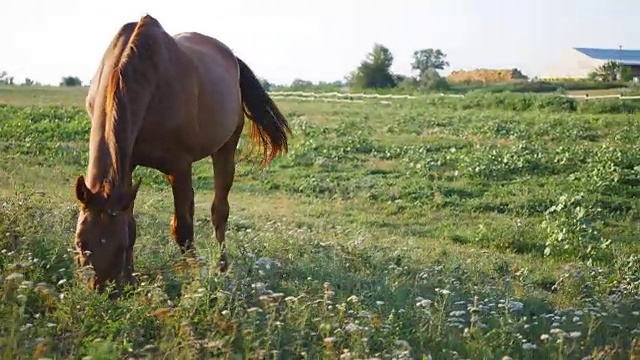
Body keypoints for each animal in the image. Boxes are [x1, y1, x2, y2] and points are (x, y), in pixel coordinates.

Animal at [72, 14, 290, 292]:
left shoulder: (179, 166)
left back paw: (222, 267)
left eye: (119, 247)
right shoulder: (127, 165)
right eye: (80, 243)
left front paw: (196, 278)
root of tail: (231, 57)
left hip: (225, 149)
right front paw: (132, 278)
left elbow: (183, 230)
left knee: (219, 211)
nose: (105, 291)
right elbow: (132, 221)